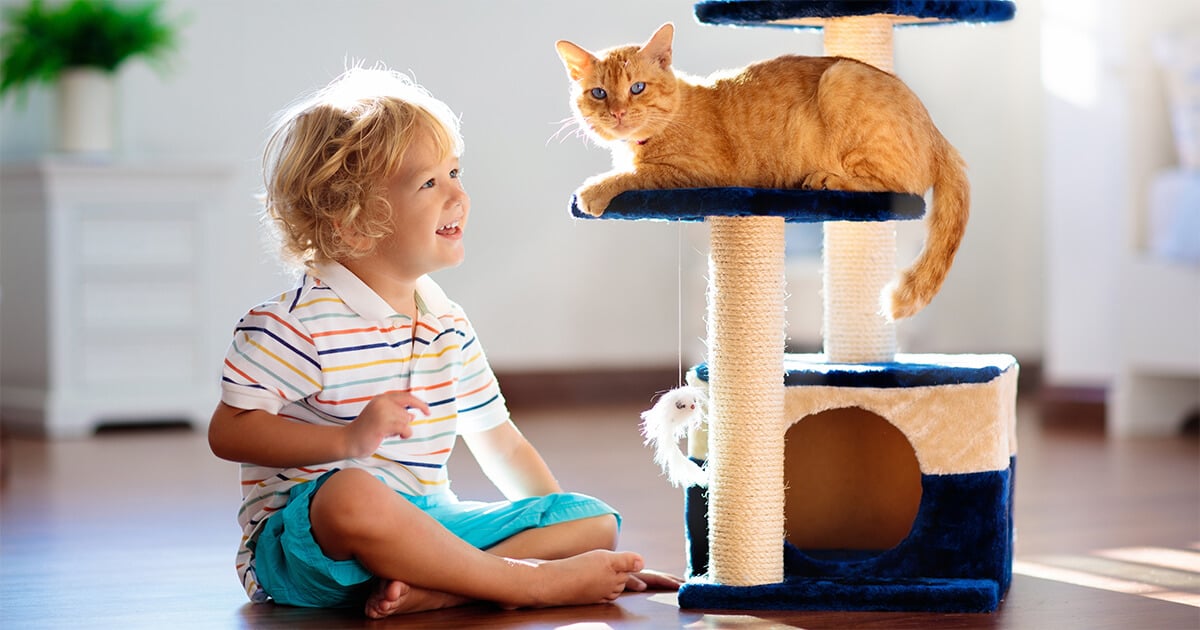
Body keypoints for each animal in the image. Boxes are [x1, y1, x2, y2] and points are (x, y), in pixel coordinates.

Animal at [556, 22, 969, 321]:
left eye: (637, 88)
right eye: (599, 93)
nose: (618, 113)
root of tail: (939, 134)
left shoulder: (699, 173)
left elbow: (635, 175)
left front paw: (591, 190)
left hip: (840, 80)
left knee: (895, 187)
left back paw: (826, 179)